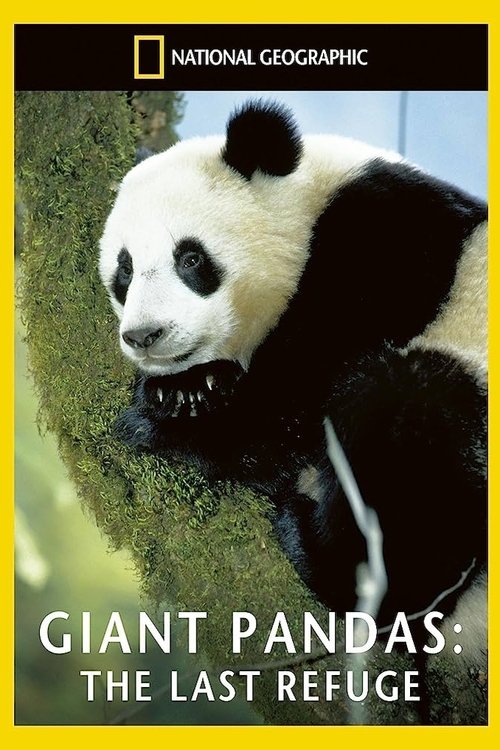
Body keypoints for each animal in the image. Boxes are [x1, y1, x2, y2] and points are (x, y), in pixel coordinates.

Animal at [99, 101, 487, 651]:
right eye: (125, 271)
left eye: (190, 258)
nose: (145, 336)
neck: (308, 204)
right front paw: (187, 390)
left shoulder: (388, 245)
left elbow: (299, 395)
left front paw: (172, 422)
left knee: (410, 417)